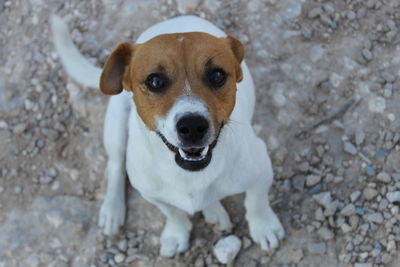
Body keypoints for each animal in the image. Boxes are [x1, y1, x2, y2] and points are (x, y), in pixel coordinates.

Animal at [51, 14, 284, 258]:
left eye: (217, 75)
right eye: (155, 81)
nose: (192, 126)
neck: (189, 175)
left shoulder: (261, 170)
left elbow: (257, 201)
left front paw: (264, 227)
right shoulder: (152, 193)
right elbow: (172, 212)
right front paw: (176, 233)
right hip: (115, 125)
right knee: (115, 164)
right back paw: (112, 209)